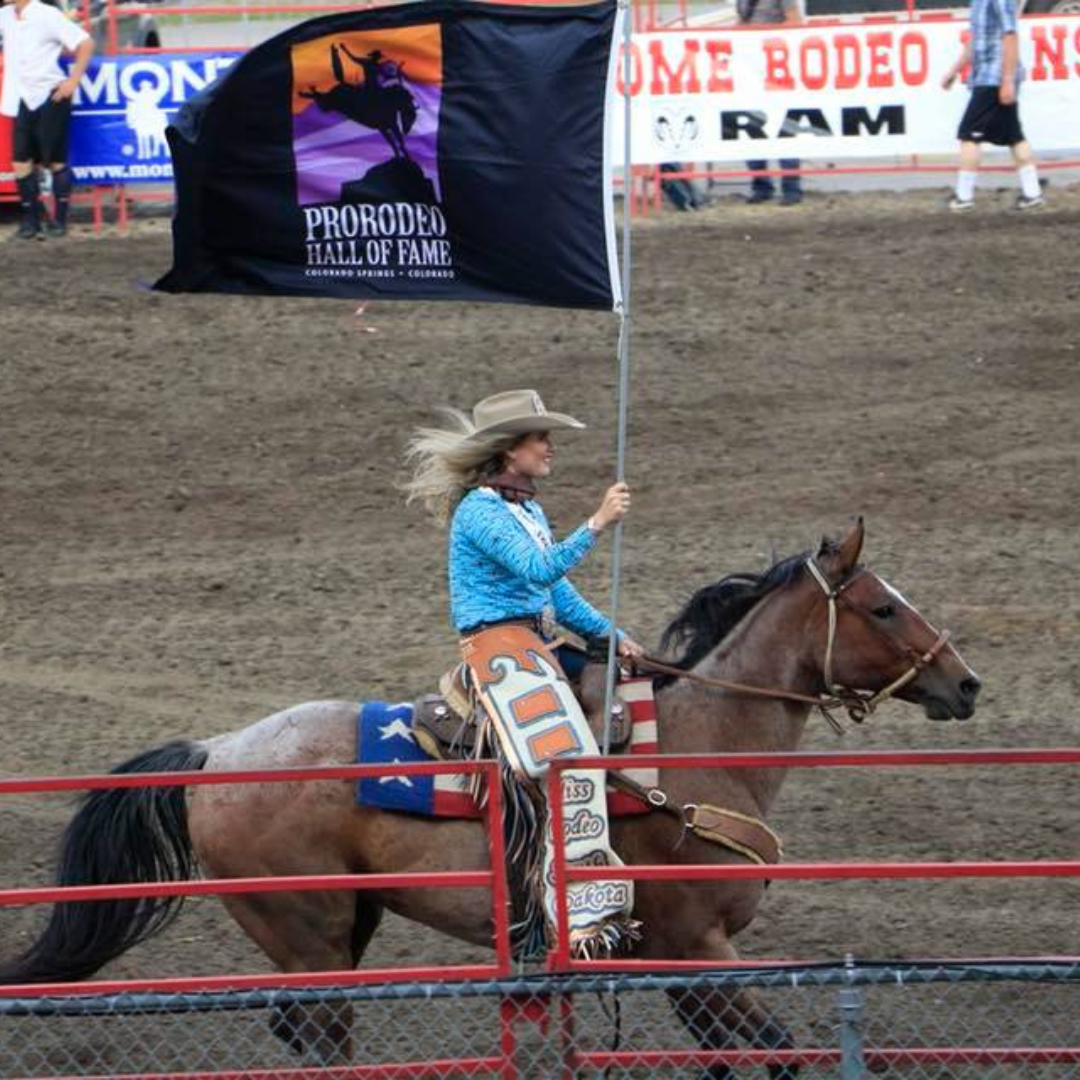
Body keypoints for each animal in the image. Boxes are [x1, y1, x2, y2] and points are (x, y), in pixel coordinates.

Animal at [0, 518, 980, 1075]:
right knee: (322, 1039)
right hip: (309, 932)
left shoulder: (675, 961)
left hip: (341, 929)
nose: (966, 684)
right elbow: (775, 1051)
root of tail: (216, 753)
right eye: (883, 608)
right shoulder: (698, 944)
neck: (699, 749)